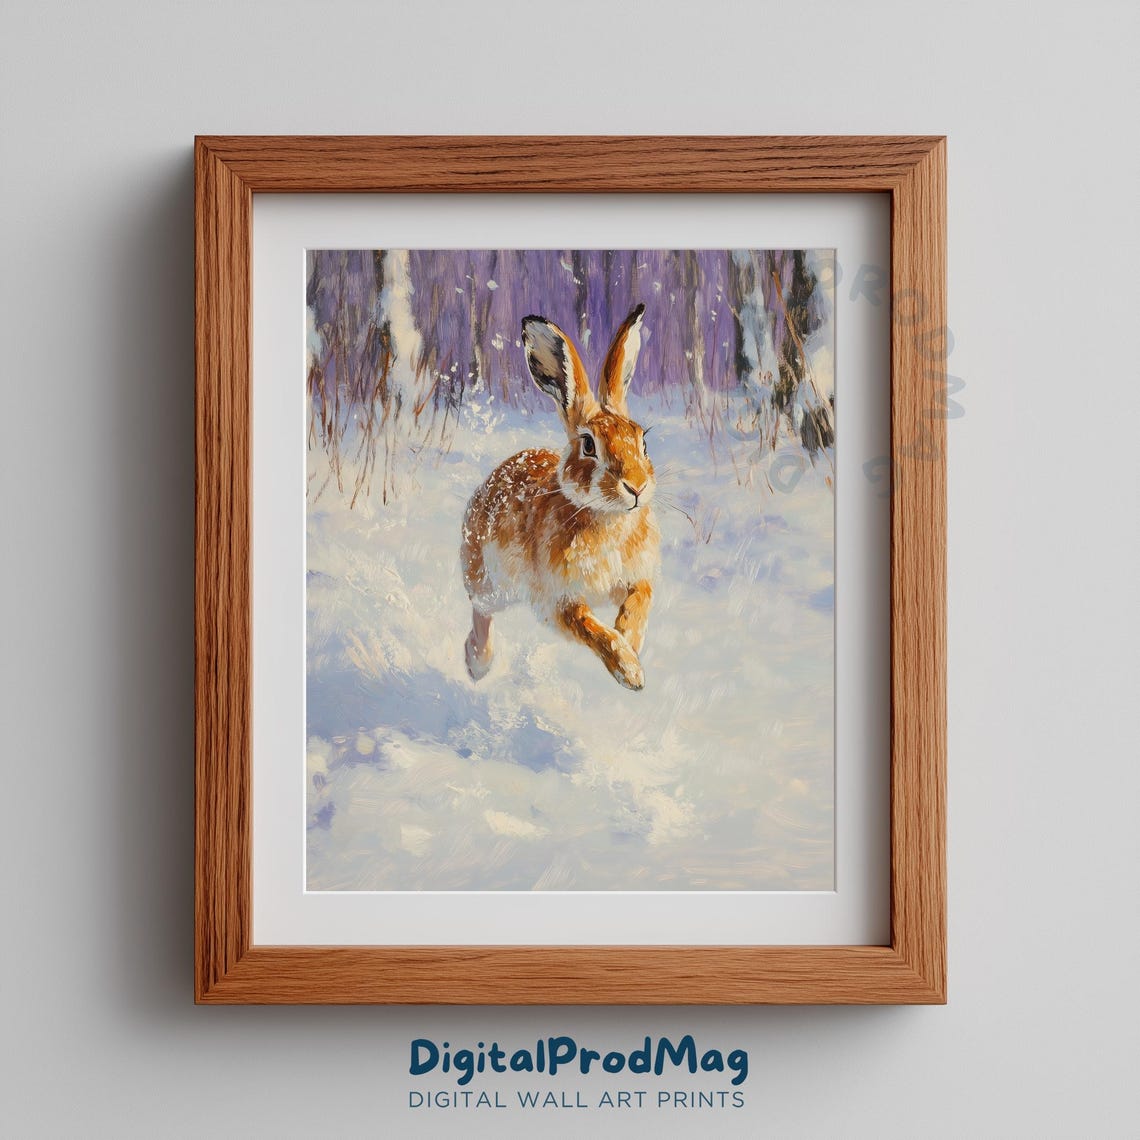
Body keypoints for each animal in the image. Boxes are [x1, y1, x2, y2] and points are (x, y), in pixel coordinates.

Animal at [460, 303, 659, 690]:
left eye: (642, 441)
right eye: (589, 445)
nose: (637, 486)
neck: (607, 516)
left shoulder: (638, 578)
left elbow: (637, 604)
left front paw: (632, 644)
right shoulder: (559, 601)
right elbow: (591, 628)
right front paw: (629, 670)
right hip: (489, 580)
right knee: (480, 611)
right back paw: (478, 663)